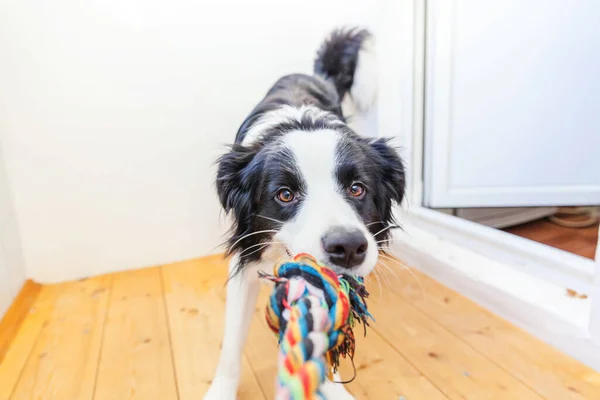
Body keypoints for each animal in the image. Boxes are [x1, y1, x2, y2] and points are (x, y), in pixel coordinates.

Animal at [204, 26, 406, 398]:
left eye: (357, 188)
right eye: (285, 195)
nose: (348, 247)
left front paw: (330, 385)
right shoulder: (245, 255)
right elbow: (232, 341)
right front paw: (221, 390)